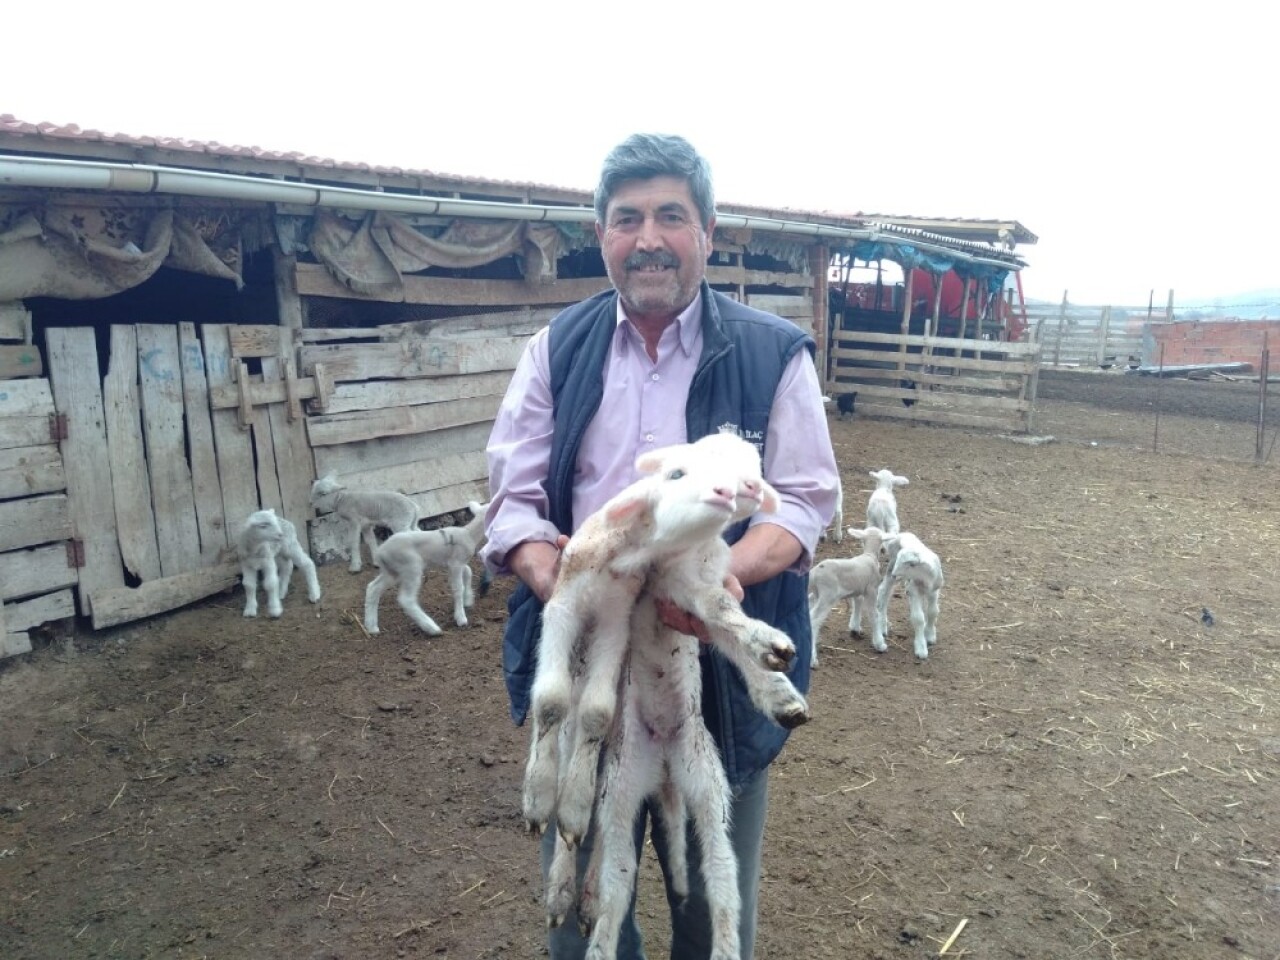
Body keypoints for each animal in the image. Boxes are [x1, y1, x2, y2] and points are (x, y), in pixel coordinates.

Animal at [363, 504, 486, 640]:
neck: (469, 534)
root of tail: (380, 552)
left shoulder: (454, 563)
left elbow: (469, 572)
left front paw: (468, 599)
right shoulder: (456, 563)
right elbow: (458, 588)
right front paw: (461, 618)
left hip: (392, 571)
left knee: (373, 588)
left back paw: (372, 627)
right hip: (411, 566)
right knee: (406, 599)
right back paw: (431, 628)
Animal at [803, 527, 885, 670]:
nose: (884, 550)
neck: (869, 556)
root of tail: (814, 574)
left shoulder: (858, 589)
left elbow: (858, 604)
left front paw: (855, 628)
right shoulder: (871, 589)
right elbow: (874, 615)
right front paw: (879, 643)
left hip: (816, 594)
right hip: (827, 596)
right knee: (814, 620)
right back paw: (812, 659)